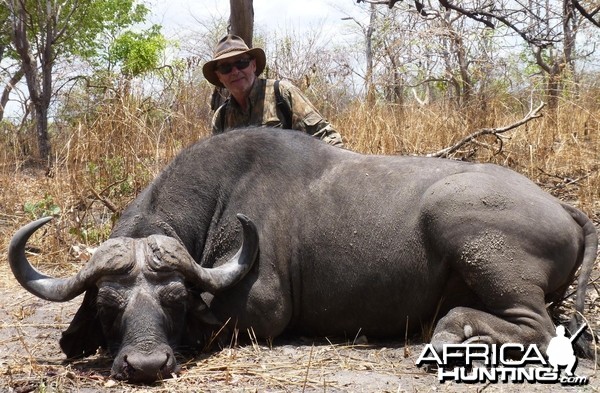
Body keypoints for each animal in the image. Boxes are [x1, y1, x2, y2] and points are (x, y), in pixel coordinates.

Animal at [7, 128, 596, 382]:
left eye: (174, 298)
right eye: (109, 305)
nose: (147, 364)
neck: (219, 196)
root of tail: (560, 205)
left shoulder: (259, 315)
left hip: (467, 232)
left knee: (539, 328)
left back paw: (452, 331)